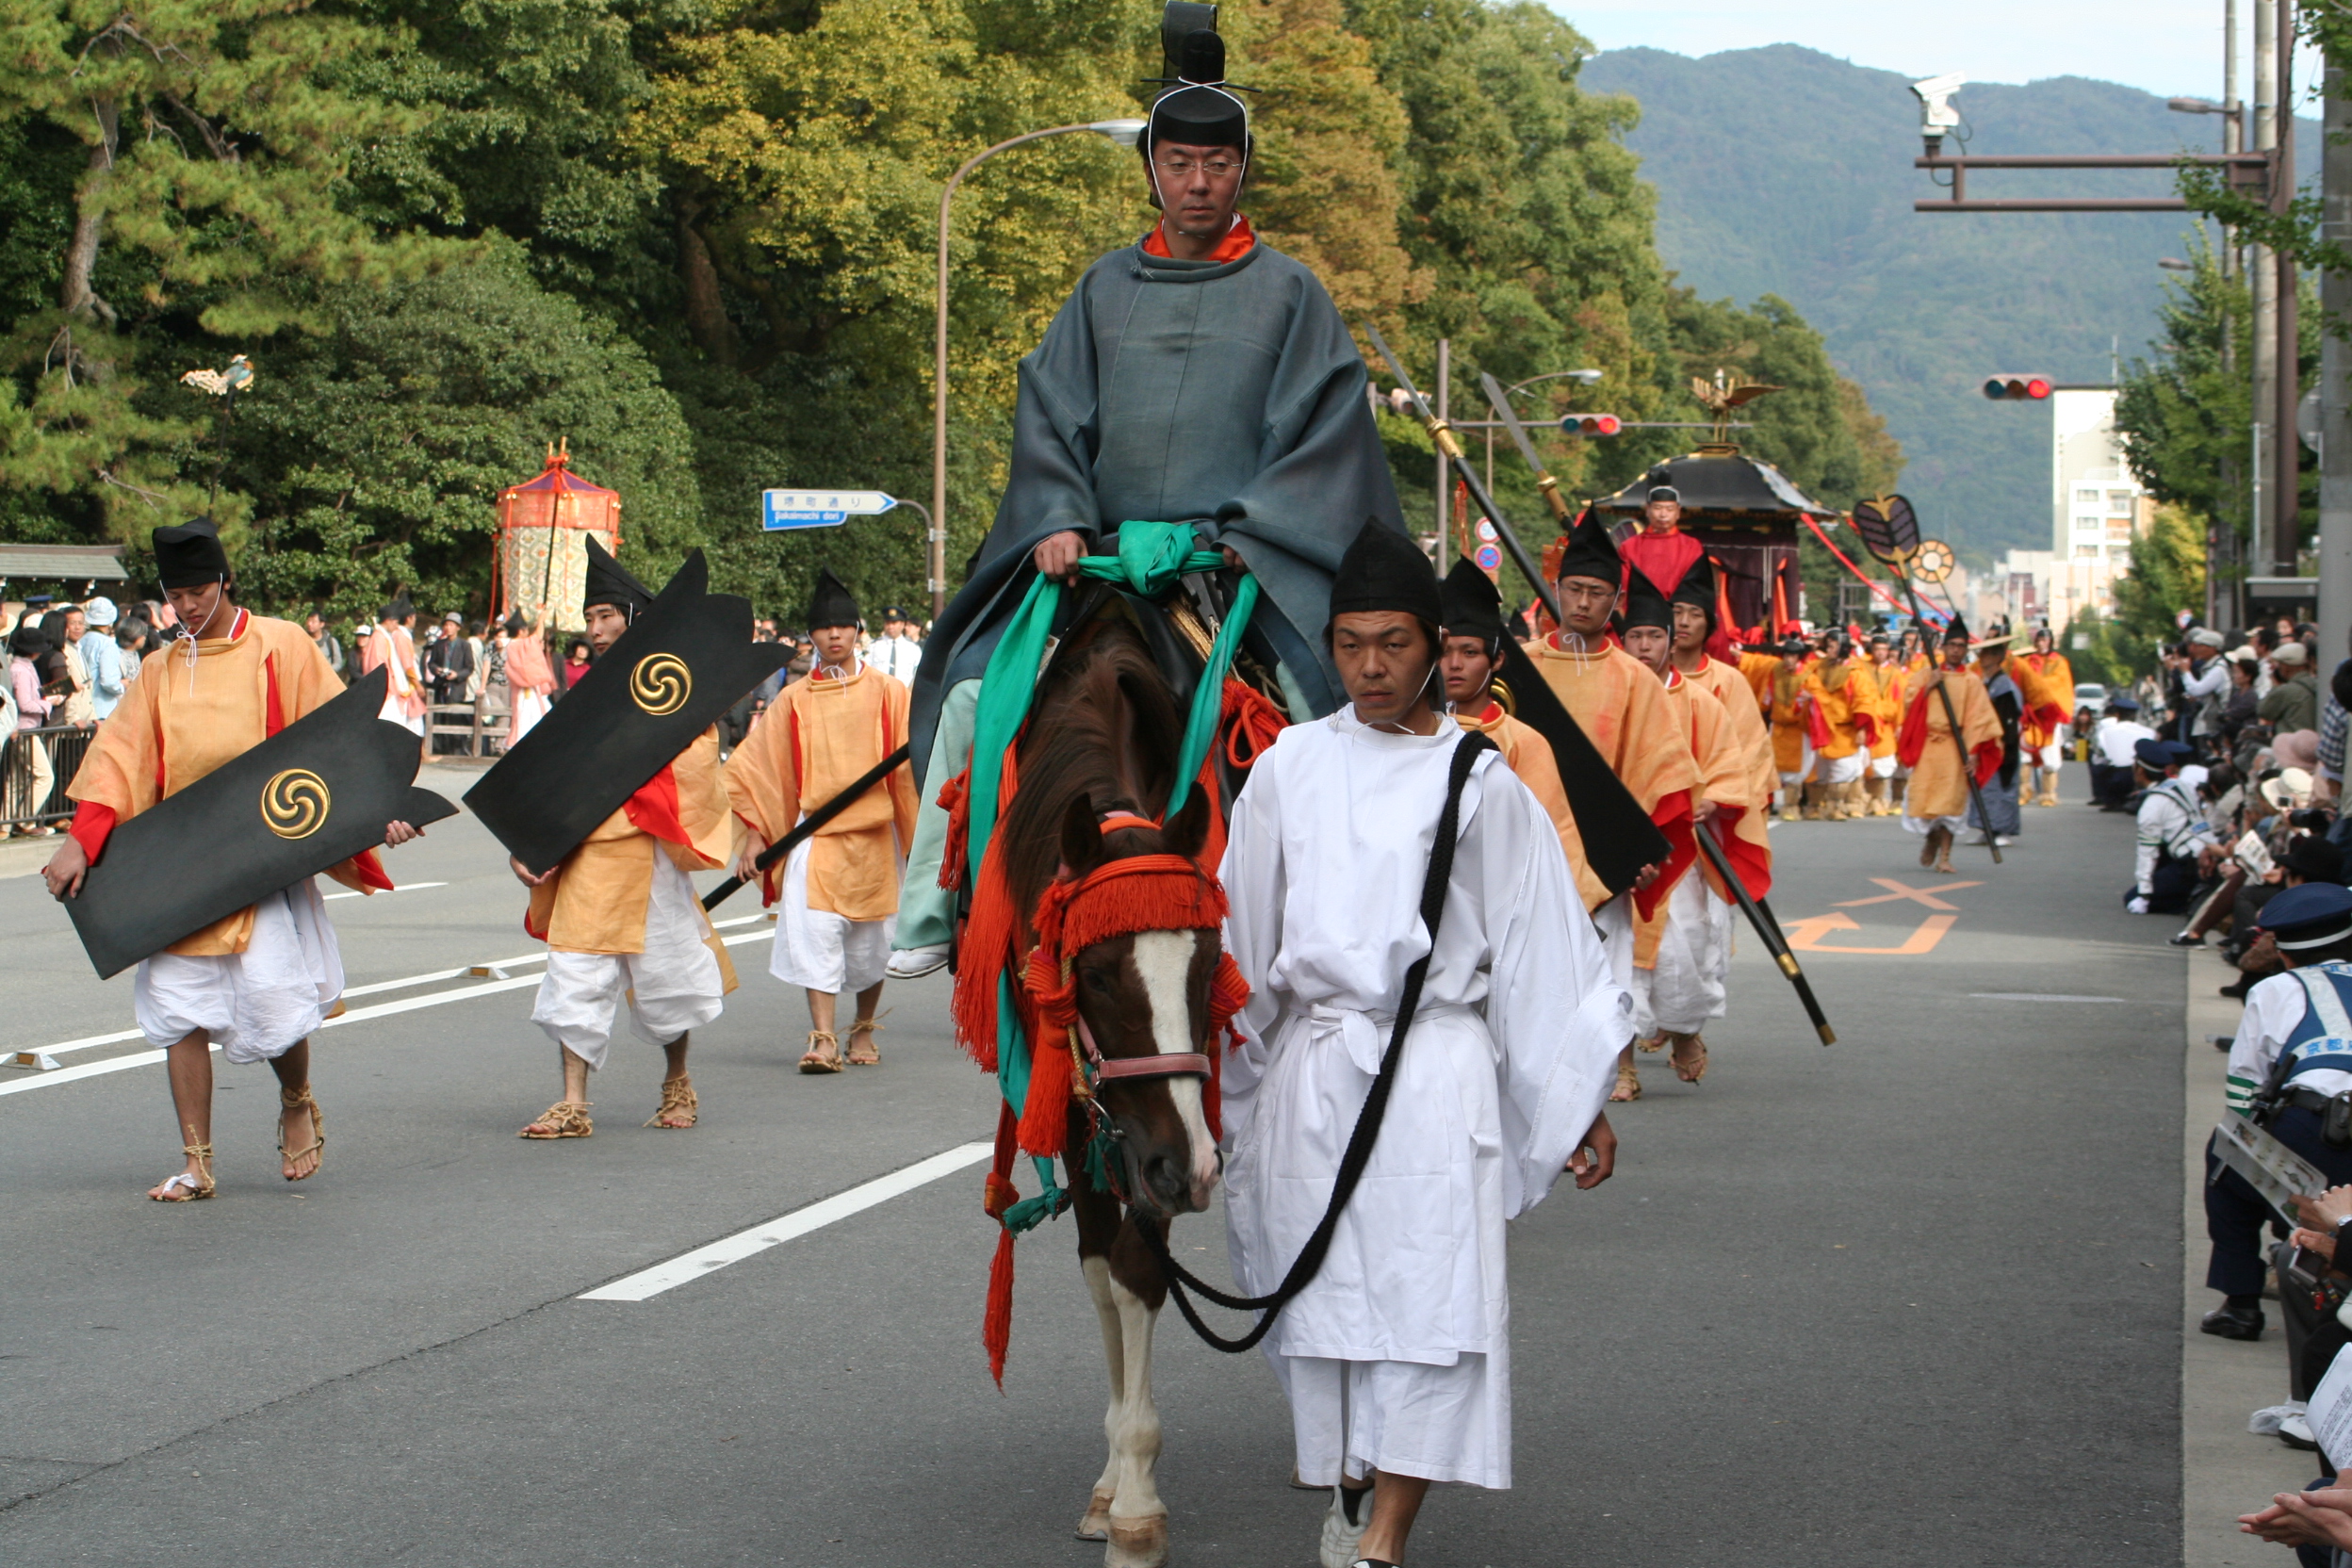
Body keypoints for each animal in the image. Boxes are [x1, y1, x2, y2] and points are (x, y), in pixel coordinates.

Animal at [992, 606, 1241, 1568]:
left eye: (1209, 965)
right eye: (1094, 976)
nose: (1189, 1172)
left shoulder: (1168, 1128)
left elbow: (1141, 1265)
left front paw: (1137, 1497)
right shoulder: (1075, 1100)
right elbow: (1103, 1269)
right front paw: (1113, 1487)